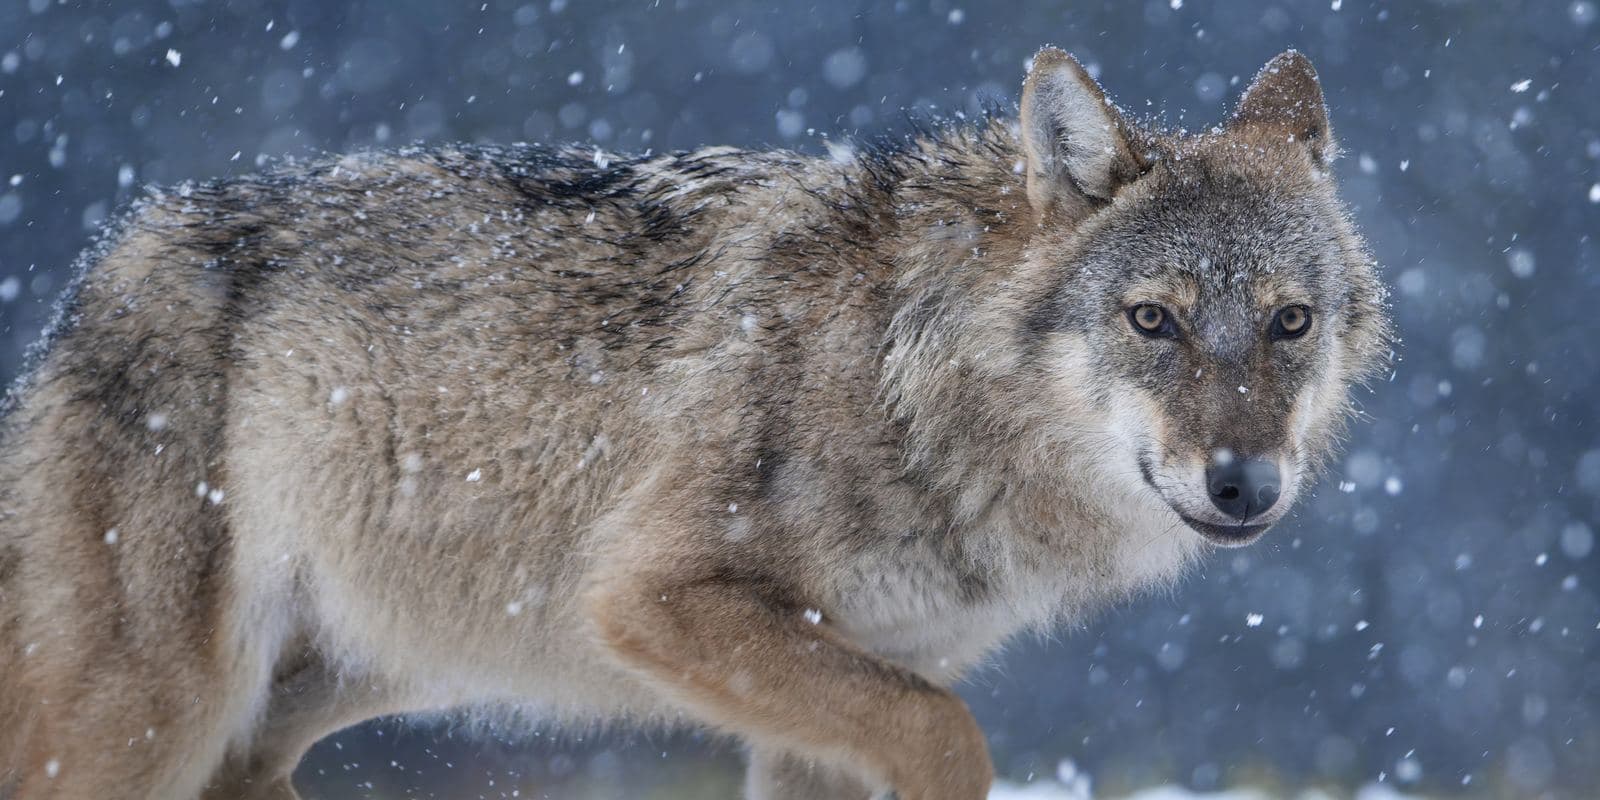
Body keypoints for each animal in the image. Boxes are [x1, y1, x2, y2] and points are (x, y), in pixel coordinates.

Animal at [0, 47, 1388, 799]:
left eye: (1289, 321)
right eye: (1153, 319)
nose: (1244, 483)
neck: (907, 380)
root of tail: (98, 271)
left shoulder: (837, 690)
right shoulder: (654, 598)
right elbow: (950, 735)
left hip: (330, 690)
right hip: (150, 713)